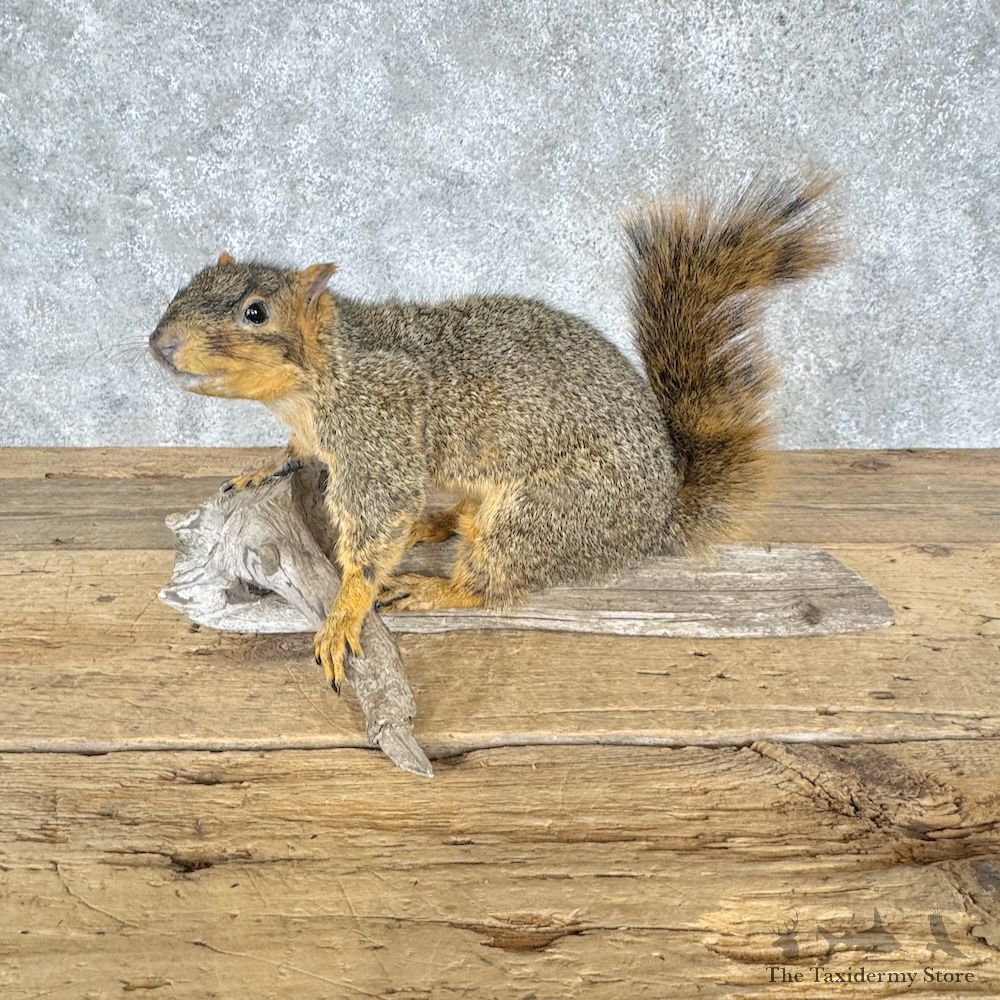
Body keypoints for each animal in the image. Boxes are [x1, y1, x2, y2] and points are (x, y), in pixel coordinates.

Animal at [150, 173, 836, 692]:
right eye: (185, 286)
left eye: (256, 313)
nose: (160, 344)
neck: (318, 381)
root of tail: (657, 516)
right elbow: (294, 456)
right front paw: (263, 466)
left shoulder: (379, 434)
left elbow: (374, 530)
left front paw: (346, 609)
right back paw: (438, 522)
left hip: (546, 515)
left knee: (491, 582)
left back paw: (437, 588)